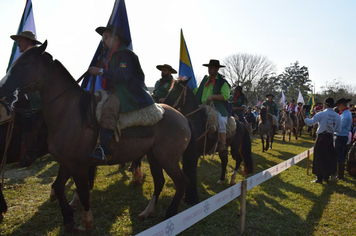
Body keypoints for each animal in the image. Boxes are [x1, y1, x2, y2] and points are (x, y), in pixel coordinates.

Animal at [0, 42, 199, 232]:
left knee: (182, 181)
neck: (69, 113)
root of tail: (182, 118)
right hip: (154, 156)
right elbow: (58, 187)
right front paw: (69, 220)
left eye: (23, 64)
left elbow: (83, 193)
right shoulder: (65, 163)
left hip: (167, 158)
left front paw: (86, 222)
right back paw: (147, 212)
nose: (2, 91)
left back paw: (170, 215)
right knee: (159, 182)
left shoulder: (78, 166)